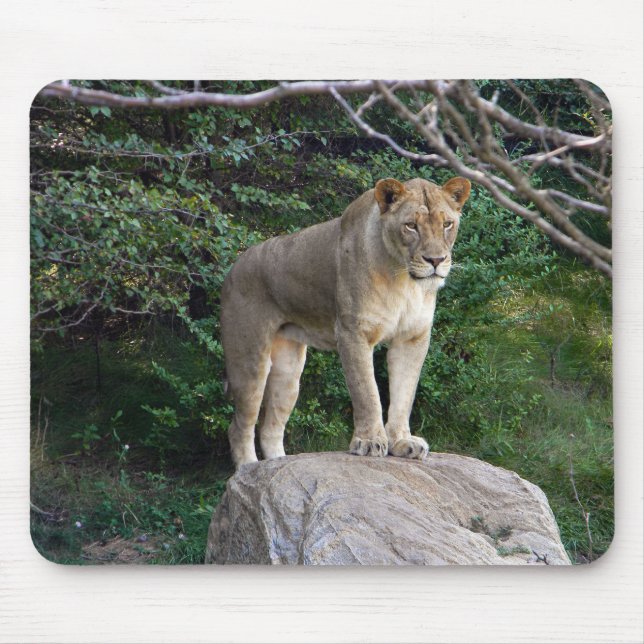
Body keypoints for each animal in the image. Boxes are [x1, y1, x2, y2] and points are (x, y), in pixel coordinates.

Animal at [221, 176, 471, 467]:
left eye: (447, 224)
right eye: (411, 226)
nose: (436, 260)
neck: (403, 281)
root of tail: (234, 267)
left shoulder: (412, 337)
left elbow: (404, 394)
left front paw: (401, 442)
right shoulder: (353, 332)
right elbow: (367, 392)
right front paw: (370, 442)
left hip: (289, 372)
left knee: (270, 427)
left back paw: (277, 466)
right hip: (249, 360)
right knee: (240, 426)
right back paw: (249, 470)